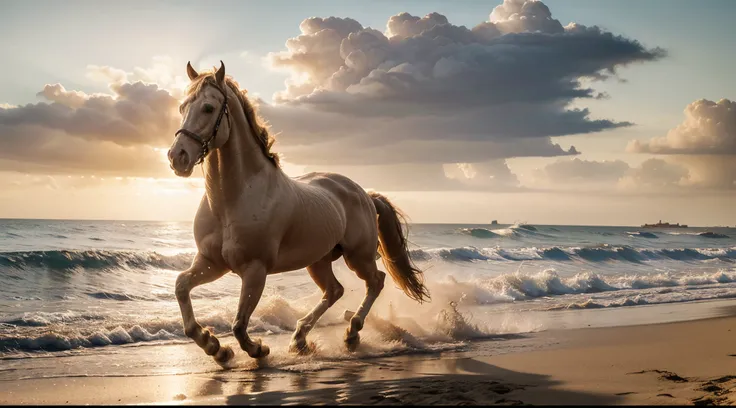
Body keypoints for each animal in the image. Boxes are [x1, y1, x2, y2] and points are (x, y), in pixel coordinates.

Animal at [167, 61, 432, 364]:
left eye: (208, 108)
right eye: (182, 107)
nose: (177, 157)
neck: (230, 202)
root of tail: (365, 194)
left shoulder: (255, 269)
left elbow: (239, 325)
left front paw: (256, 349)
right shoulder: (211, 262)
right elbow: (181, 286)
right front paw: (215, 347)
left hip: (358, 257)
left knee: (376, 282)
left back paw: (351, 334)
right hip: (318, 261)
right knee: (334, 290)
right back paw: (300, 339)